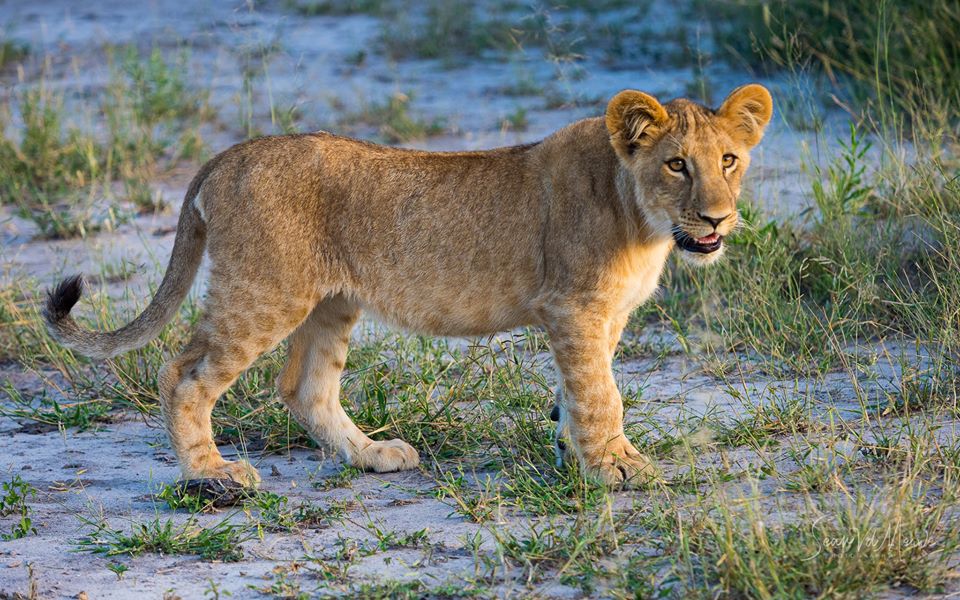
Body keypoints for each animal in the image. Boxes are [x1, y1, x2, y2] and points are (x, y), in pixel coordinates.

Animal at [44, 84, 773, 488]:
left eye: (729, 160)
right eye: (677, 165)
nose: (717, 218)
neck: (643, 221)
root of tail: (231, 152)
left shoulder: (598, 317)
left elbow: (580, 392)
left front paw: (576, 454)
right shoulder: (574, 308)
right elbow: (602, 395)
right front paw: (617, 468)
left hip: (332, 301)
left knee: (304, 387)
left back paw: (371, 455)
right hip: (263, 293)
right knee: (184, 375)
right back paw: (211, 476)